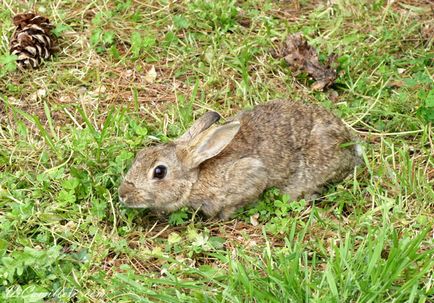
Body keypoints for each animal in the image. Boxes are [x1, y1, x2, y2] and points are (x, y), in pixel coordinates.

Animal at [117, 101, 362, 220]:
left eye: (159, 172)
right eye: (140, 155)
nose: (123, 194)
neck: (197, 177)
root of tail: (350, 147)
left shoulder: (250, 173)